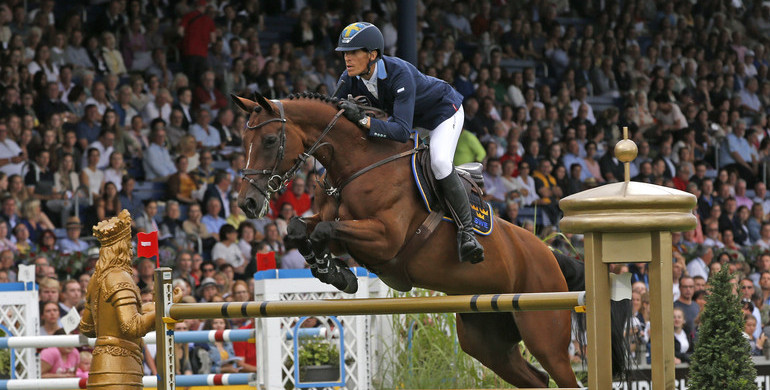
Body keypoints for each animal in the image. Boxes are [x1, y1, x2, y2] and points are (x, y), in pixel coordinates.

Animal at [230, 91, 624, 386]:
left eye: (269, 140)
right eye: (242, 141)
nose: (246, 203)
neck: (357, 164)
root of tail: (549, 255)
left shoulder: (385, 238)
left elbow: (326, 231)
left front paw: (337, 274)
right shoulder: (342, 228)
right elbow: (301, 229)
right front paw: (332, 271)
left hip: (545, 334)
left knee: (561, 375)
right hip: (488, 342)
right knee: (535, 378)